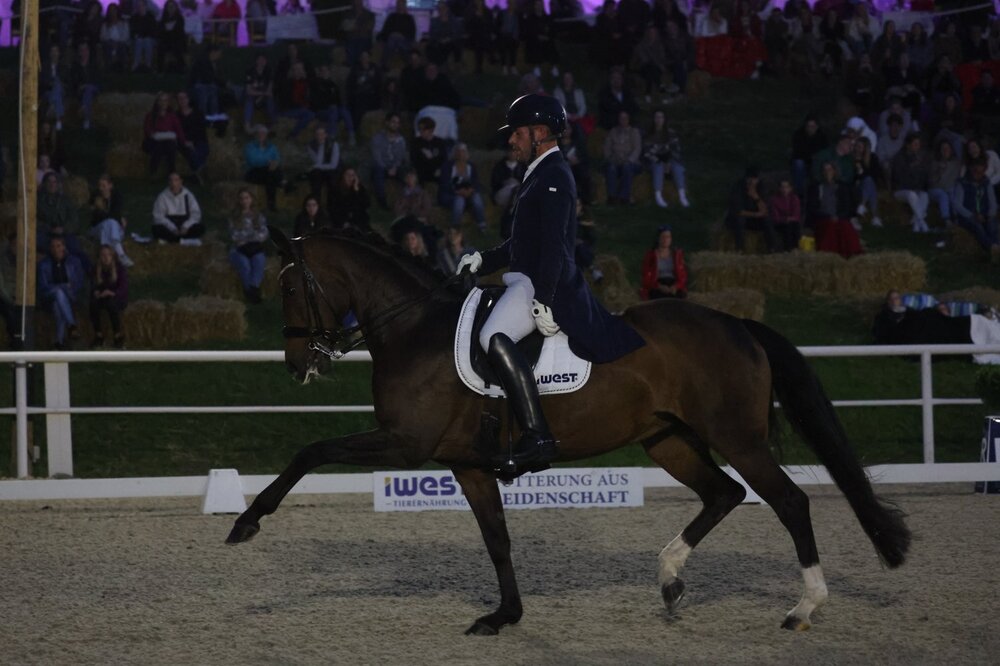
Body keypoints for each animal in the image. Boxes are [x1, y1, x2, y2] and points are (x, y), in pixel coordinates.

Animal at [226, 227, 911, 635]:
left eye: (291, 287)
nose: (298, 365)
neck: (413, 329)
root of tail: (736, 323)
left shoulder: (405, 443)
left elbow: (311, 449)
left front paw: (246, 522)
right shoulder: (466, 464)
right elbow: (496, 539)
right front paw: (504, 615)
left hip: (738, 438)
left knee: (788, 501)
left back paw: (803, 607)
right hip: (667, 439)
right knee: (724, 493)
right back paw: (670, 580)